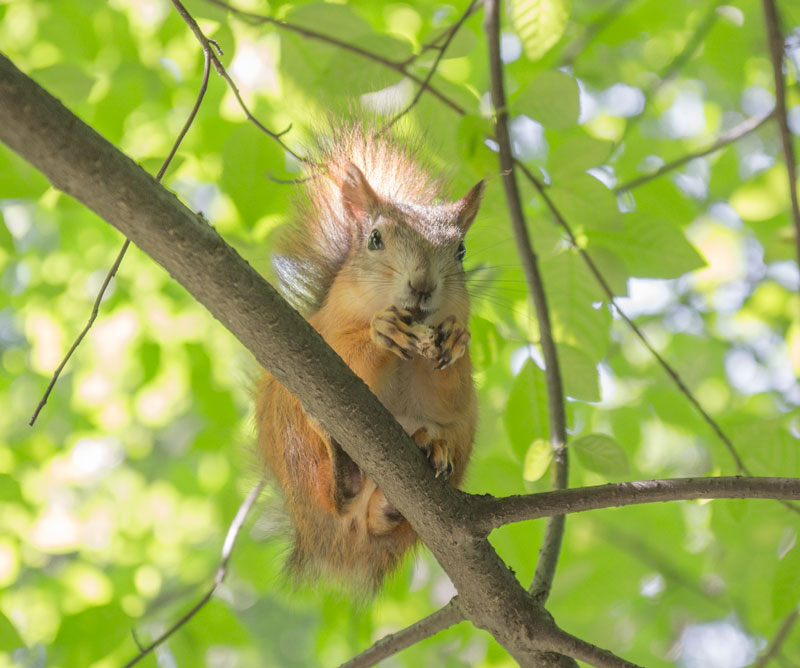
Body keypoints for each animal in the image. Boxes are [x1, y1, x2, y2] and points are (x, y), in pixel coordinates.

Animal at [256, 125, 482, 588]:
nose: (422, 286)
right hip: (293, 431)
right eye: (375, 239)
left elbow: (448, 400)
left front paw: (455, 339)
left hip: (460, 437)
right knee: (332, 490)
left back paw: (423, 457)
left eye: (461, 251)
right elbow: (349, 356)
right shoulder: (325, 332)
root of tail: (330, 540)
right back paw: (341, 463)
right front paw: (382, 332)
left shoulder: (448, 393)